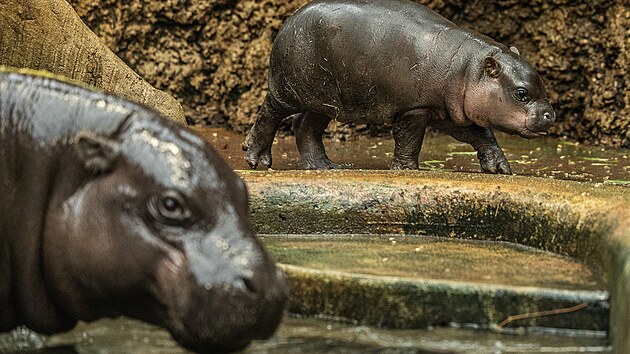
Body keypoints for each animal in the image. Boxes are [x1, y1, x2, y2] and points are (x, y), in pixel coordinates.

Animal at [244, 0, 556, 173]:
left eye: (541, 85)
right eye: (521, 93)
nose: (550, 114)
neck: (469, 68)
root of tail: (289, 20)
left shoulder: (451, 113)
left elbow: (482, 136)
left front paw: (500, 168)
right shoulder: (414, 108)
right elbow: (409, 139)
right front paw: (408, 169)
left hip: (325, 99)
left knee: (305, 126)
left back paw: (325, 167)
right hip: (287, 89)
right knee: (269, 113)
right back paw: (257, 160)